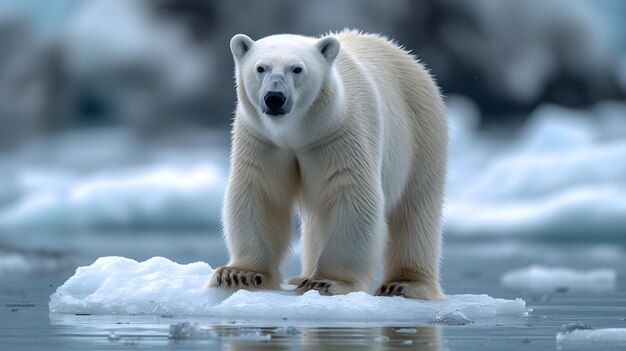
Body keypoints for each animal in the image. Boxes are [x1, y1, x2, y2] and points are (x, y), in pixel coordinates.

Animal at [207, 29, 446, 300]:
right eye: (261, 68)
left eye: (297, 69)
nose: (274, 98)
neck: (296, 132)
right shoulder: (263, 140)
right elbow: (260, 192)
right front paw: (239, 274)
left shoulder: (338, 134)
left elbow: (350, 196)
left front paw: (327, 281)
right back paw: (302, 276)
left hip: (421, 131)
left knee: (415, 208)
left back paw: (404, 284)